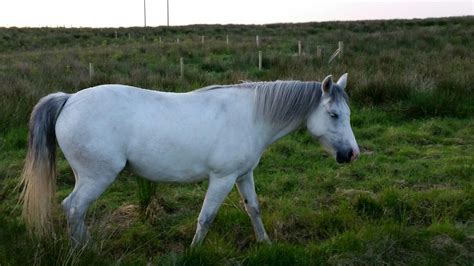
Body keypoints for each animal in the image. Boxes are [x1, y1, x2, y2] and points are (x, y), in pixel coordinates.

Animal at [18, 72, 360, 245]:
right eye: (333, 114)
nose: (351, 154)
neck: (251, 116)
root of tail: (69, 99)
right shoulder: (222, 179)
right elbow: (205, 218)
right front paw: (194, 252)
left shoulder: (243, 175)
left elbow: (254, 209)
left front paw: (265, 243)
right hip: (96, 177)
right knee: (74, 209)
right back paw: (85, 250)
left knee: (74, 211)